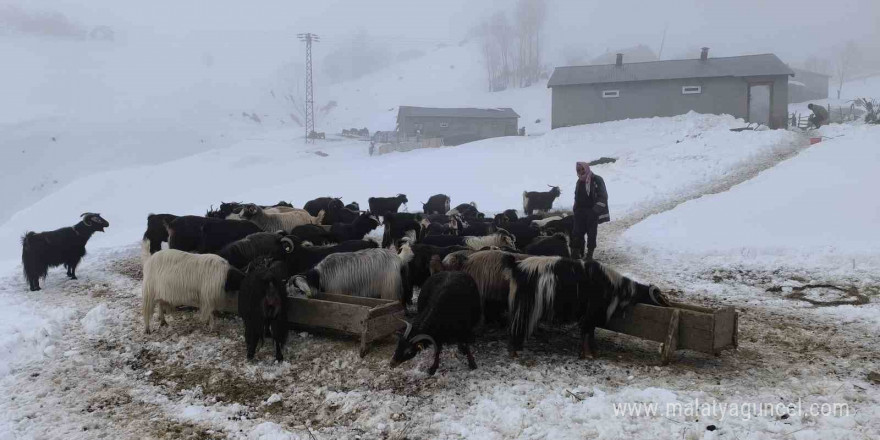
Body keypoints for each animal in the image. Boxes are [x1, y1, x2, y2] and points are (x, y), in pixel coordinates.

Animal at [502, 256, 668, 360]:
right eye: (660, 298)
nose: (668, 306)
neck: (615, 285)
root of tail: (516, 266)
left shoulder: (590, 316)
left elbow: (589, 333)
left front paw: (590, 352)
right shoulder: (591, 314)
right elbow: (587, 333)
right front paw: (588, 355)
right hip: (525, 307)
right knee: (517, 327)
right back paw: (515, 353)